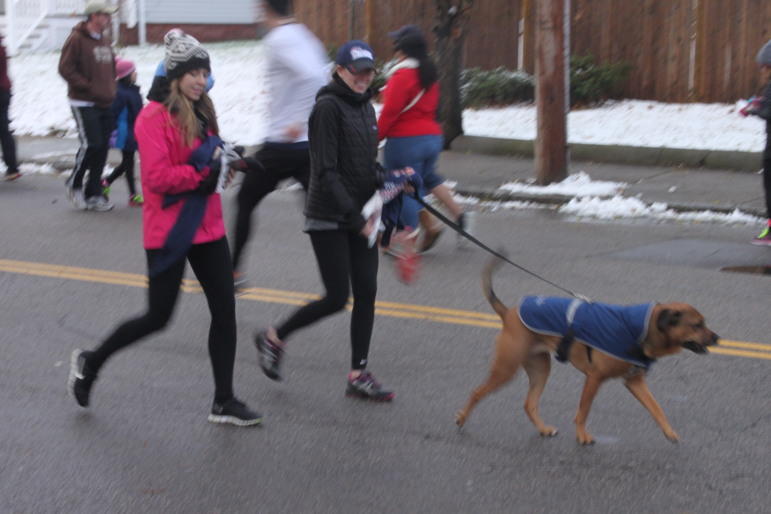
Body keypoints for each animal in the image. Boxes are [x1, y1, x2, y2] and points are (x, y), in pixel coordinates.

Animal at [458, 258, 716, 442]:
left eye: (704, 322)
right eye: (697, 325)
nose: (717, 338)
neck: (639, 330)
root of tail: (509, 312)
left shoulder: (635, 382)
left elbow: (656, 409)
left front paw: (669, 433)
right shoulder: (594, 378)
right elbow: (583, 411)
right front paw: (582, 436)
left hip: (540, 369)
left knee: (529, 404)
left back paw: (543, 429)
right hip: (506, 368)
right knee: (477, 392)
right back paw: (462, 418)